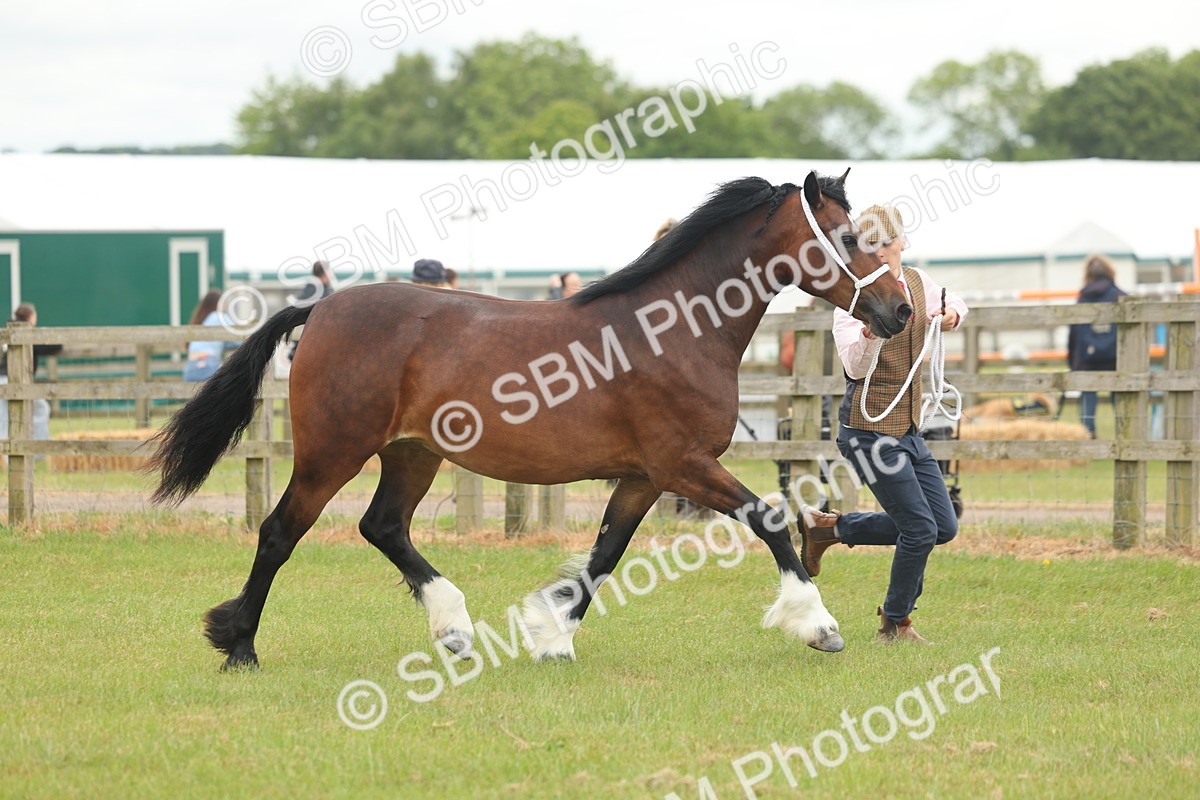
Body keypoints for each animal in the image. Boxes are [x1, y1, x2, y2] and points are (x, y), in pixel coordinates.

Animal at [148, 170, 912, 669]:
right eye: (848, 236)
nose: (901, 311)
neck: (676, 328)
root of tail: (322, 307)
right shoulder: (684, 465)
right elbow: (771, 519)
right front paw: (818, 626)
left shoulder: (645, 476)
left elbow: (604, 555)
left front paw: (553, 638)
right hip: (332, 453)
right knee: (280, 532)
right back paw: (239, 645)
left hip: (412, 454)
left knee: (383, 527)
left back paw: (454, 630)